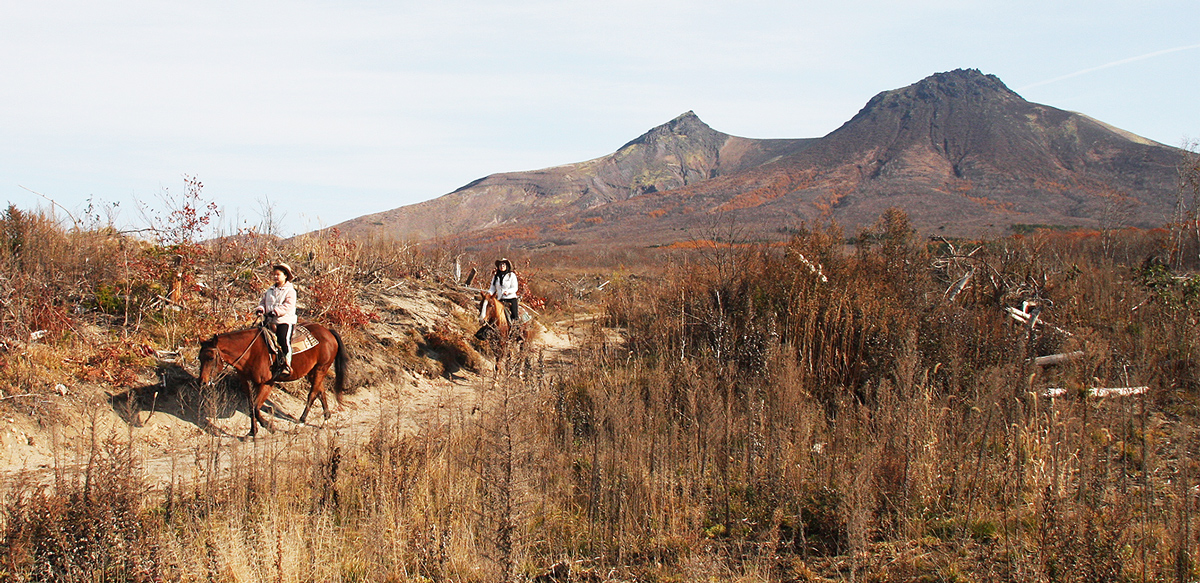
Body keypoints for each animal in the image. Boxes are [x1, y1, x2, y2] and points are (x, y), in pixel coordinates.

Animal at [198, 322, 348, 437]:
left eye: (210, 358)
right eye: (199, 357)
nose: (203, 382)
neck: (250, 352)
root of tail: (328, 332)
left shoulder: (267, 383)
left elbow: (256, 407)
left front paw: (268, 426)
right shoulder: (247, 382)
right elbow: (251, 406)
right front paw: (252, 431)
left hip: (320, 369)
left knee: (312, 394)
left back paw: (301, 421)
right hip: (312, 371)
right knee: (320, 391)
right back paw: (326, 419)